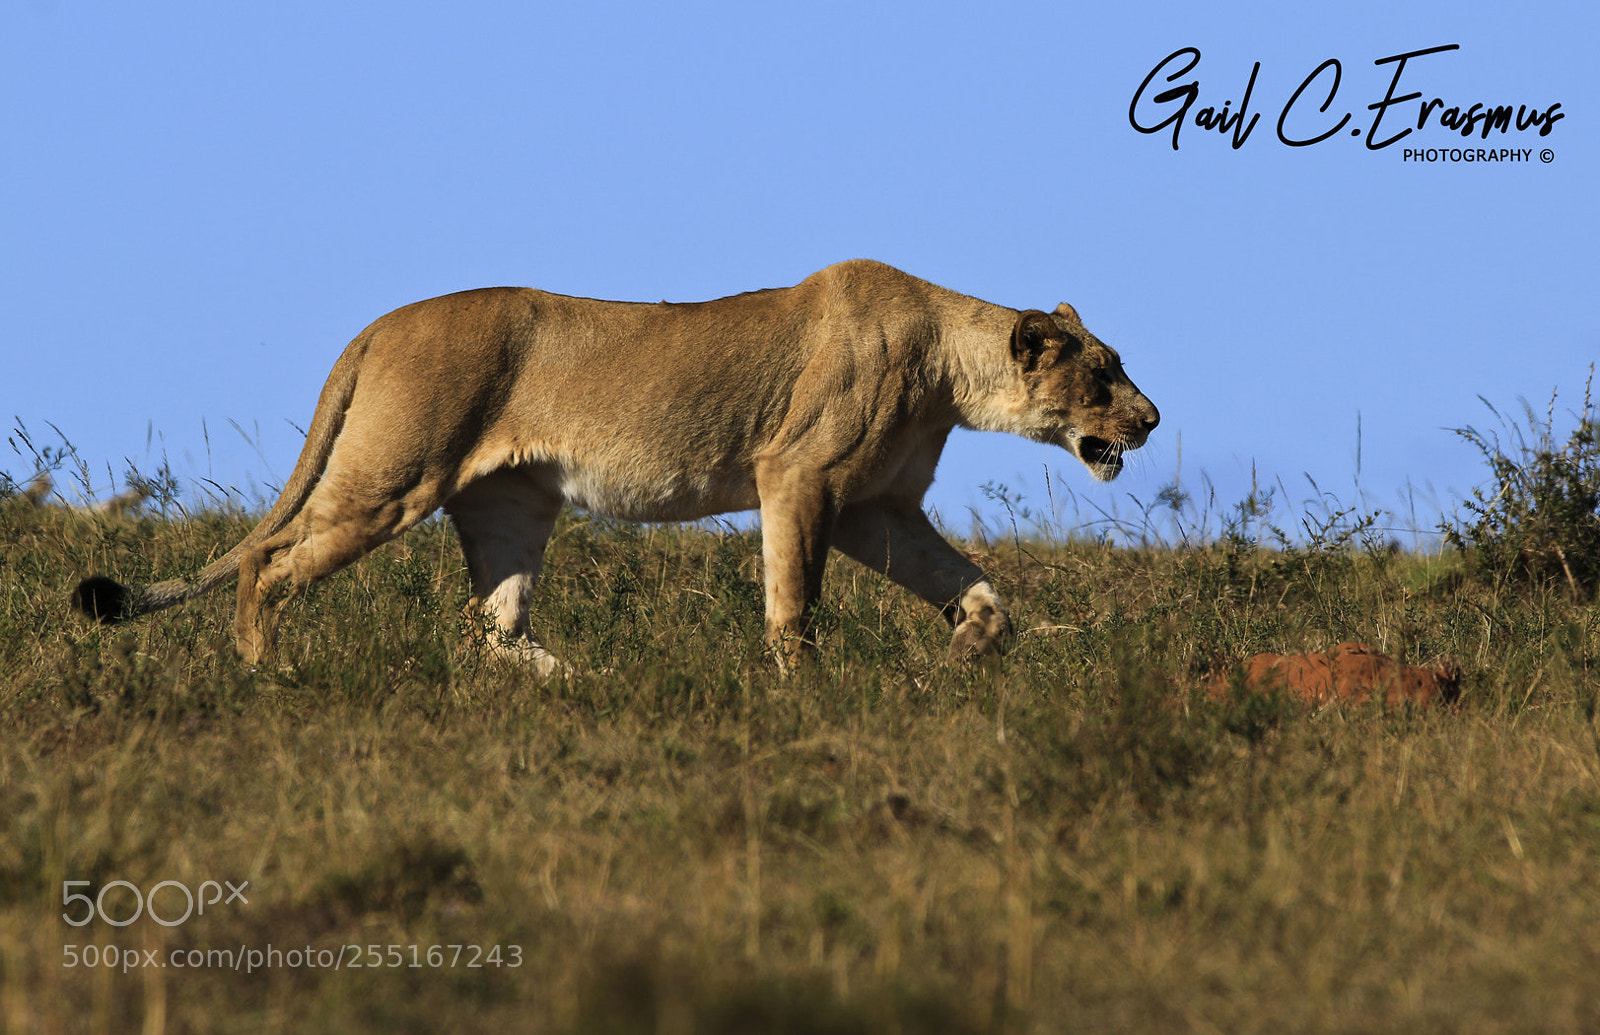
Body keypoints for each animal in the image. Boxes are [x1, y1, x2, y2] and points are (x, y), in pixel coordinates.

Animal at [71, 260, 1159, 673]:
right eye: (1104, 372)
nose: (1150, 419)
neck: (947, 366)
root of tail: (381, 323)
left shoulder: (874, 506)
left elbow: (976, 588)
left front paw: (968, 649)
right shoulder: (799, 477)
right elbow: (794, 603)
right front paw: (804, 690)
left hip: (509, 504)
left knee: (494, 625)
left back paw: (579, 682)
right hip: (395, 475)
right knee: (268, 560)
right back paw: (267, 671)